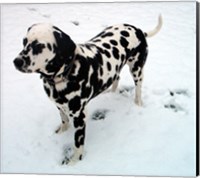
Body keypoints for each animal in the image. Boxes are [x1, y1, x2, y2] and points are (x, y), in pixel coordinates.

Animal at [12, 15, 162, 165]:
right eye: (24, 41)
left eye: (39, 46)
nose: (16, 62)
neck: (66, 74)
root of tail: (138, 30)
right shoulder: (60, 106)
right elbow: (64, 120)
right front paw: (62, 131)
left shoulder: (80, 117)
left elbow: (78, 143)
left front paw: (74, 161)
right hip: (115, 69)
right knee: (116, 77)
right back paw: (111, 92)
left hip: (137, 69)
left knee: (138, 87)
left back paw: (138, 102)